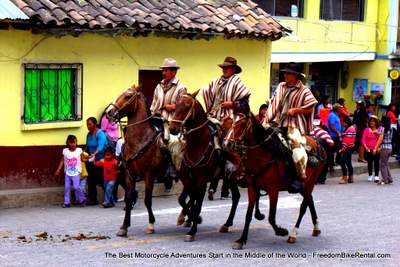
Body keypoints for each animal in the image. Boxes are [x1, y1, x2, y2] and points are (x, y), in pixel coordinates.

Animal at [106, 85, 167, 238]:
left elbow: (147, 200)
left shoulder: (149, 175)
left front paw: (151, 224)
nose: (109, 112)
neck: (140, 140)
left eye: (128, 96)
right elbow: (128, 197)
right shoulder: (129, 175)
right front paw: (124, 227)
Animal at [169, 92, 266, 243]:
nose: (172, 128)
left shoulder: (202, 180)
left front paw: (192, 229)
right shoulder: (188, 178)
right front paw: (189, 218)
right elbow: (185, 199)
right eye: (175, 104)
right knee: (236, 197)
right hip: (231, 178)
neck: (197, 144)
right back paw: (227, 224)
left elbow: (197, 203)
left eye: (187, 106)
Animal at [225, 112, 324, 250]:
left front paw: (281, 231)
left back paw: (293, 234)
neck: (261, 156)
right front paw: (241, 240)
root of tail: (317, 142)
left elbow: (271, 217)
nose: (227, 143)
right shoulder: (252, 188)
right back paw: (316, 227)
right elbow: (248, 215)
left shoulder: (273, 190)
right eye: (232, 121)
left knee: (303, 206)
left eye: (242, 123)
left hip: (310, 182)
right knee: (310, 201)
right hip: (304, 185)